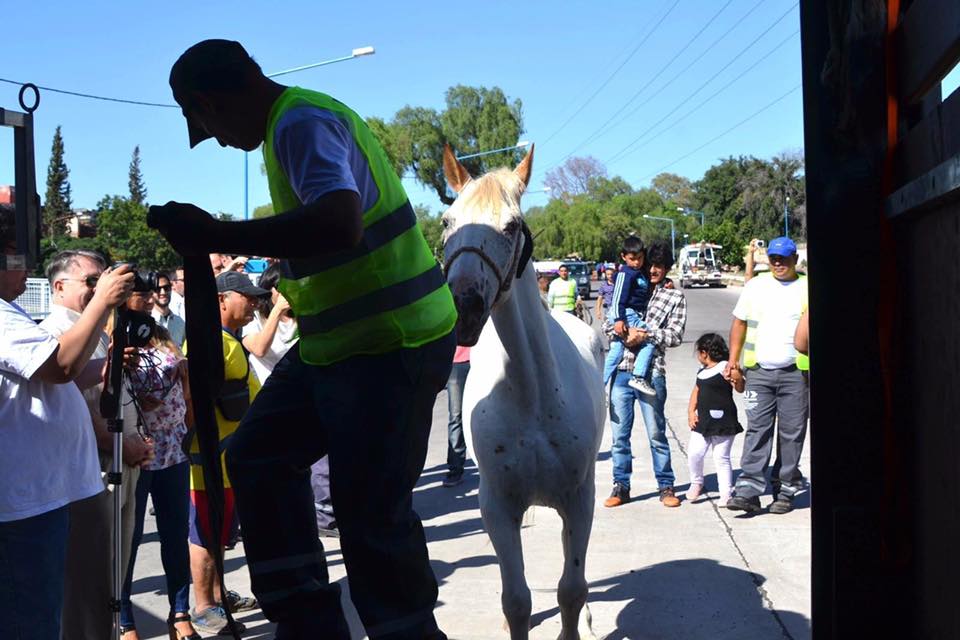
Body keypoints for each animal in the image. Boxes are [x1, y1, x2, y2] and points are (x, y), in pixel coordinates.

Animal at [440, 145, 604, 640]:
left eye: (511, 226)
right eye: (448, 221)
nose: (464, 306)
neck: (533, 396)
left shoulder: (579, 500)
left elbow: (572, 590)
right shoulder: (497, 507)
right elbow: (516, 601)